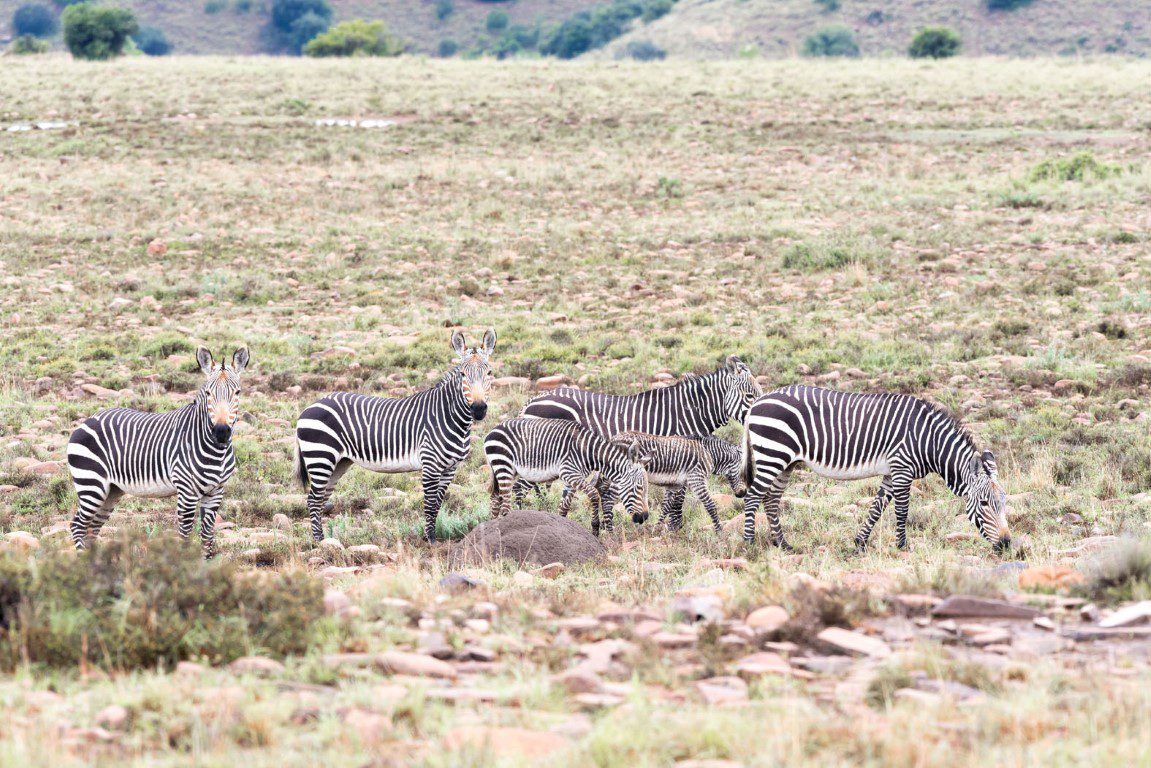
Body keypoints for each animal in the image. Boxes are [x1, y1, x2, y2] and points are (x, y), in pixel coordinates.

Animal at [66, 347, 250, 557]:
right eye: (209, 393)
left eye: (237, 392)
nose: (221, 431)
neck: (216, 451)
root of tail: (88, 420)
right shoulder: (186, 491)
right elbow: (185, 535)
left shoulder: (216, 492)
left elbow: (207, 537)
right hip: (91, 484)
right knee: (78, 525)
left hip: (111, 490)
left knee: (92, 528)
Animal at [294, 329, 495, 543]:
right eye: (463, 374)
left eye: (489, 373)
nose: (479, 409)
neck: (449, 416)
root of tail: (309, 407)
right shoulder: (430, 465)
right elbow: (430, 505)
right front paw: (430, 540)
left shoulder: (450, 468)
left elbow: (437, 504)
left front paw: (430, 536)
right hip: (321, 457)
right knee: (313, 500)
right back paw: (319, 542)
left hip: (339, 462)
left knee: (321, 498)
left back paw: (325, 539)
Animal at [484, 417, 653, 535]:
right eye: (638, 488)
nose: (644, 517)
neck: (588, 452)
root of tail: (492, 430)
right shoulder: (570, 473)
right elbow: (594, 494)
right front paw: (595, 528)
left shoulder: (570, 479)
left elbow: (564, 507)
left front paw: (562, 527)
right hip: (503, 465)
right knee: (505, 505)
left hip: (506, 469)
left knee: (495, 499)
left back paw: (492, 527)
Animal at [740, 384, 1010, 552]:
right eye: (984, 503)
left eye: (1004, 503)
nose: (1007, 544)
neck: (929, 440)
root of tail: (757, 402)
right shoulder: (902, 468)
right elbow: (901, 511)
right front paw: (902, 546)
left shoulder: (892, 472)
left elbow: (877, 508)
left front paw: (860, 542)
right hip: (773, 454)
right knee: (753, 497)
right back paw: (749, 543)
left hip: (786, 462)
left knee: (771, 499)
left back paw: (783, 544)